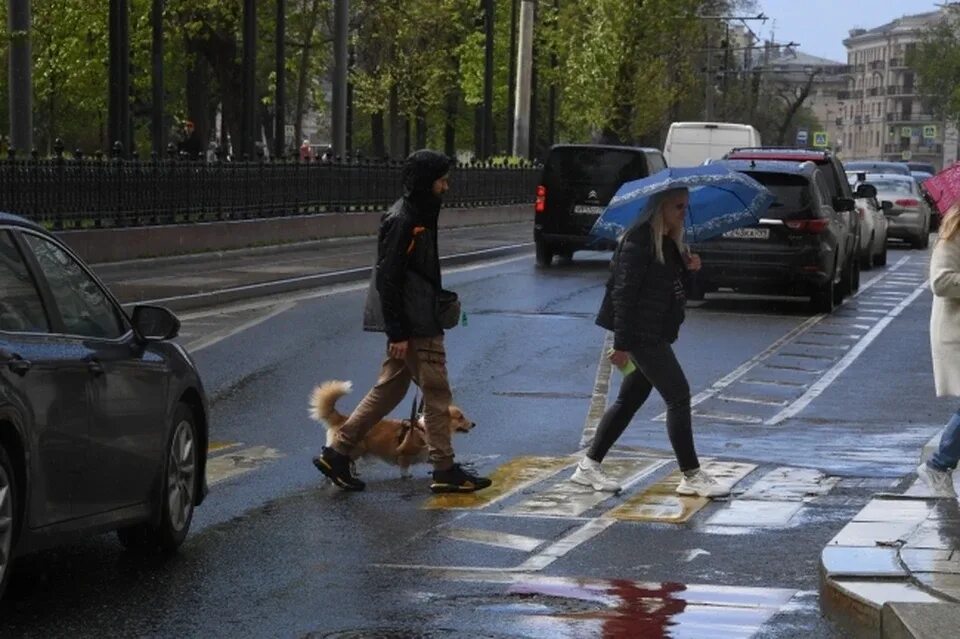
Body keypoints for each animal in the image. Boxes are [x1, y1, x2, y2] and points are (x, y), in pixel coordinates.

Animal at [308, 380, 476, 480]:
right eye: (460, 417)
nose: (474, 424)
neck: (423, 429)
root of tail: (343, 418)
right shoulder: (405, 455)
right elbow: (405, 468)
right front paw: (407, 476)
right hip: (356, 449)